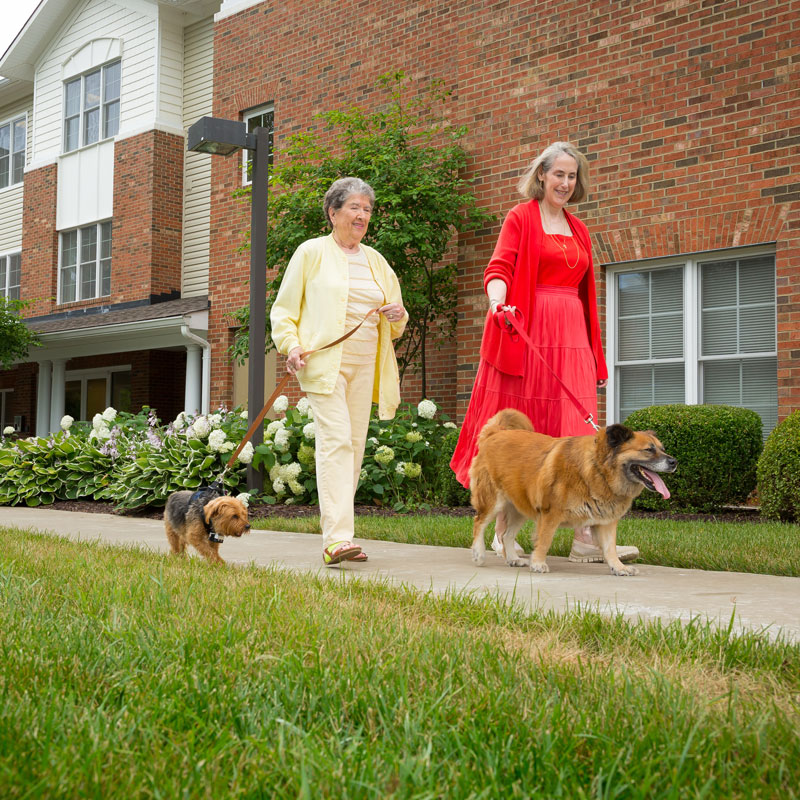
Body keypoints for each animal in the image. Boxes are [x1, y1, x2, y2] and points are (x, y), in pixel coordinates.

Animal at [468, 412, 676, 576]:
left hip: (519, 508)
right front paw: (538, 563)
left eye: (662, 449)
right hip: (492, 501)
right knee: (479, 522)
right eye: (648, 450)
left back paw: (512, 558)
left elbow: (610, 548)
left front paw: (618, 567)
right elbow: (544, 541)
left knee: (507, 535)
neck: (597, 468)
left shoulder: (607, 521)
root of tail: (496, 433)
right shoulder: (550, 514)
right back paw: (478, 554)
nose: (674, 462)